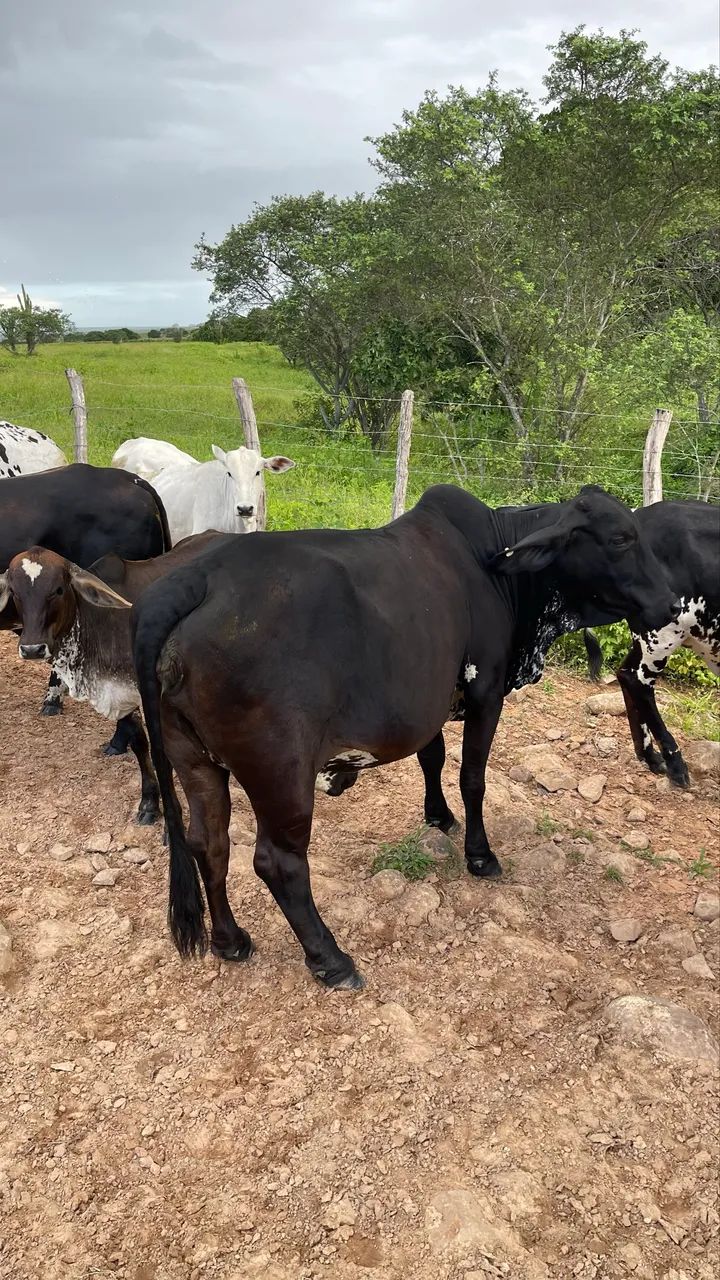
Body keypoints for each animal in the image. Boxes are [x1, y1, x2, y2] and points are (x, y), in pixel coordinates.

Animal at [0, 533, 229, 823]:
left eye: (58, 590)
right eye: (15, 593)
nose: (32, 649)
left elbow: (161, 755)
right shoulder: (121, 693)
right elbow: (139, 743)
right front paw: (149, 804)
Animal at [129, 483, 677, 991]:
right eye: (622, 538)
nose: (673, 602)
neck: (499, 569)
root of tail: (197, 579)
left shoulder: (427, 702)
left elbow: (431, 757)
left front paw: (438, 816)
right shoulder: (486, 690)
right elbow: (472, 776)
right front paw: (480, 854)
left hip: (194, 759)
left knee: (209, 842)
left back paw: (230, 940)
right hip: (280, 772)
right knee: (277, 862)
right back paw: (331, 959)